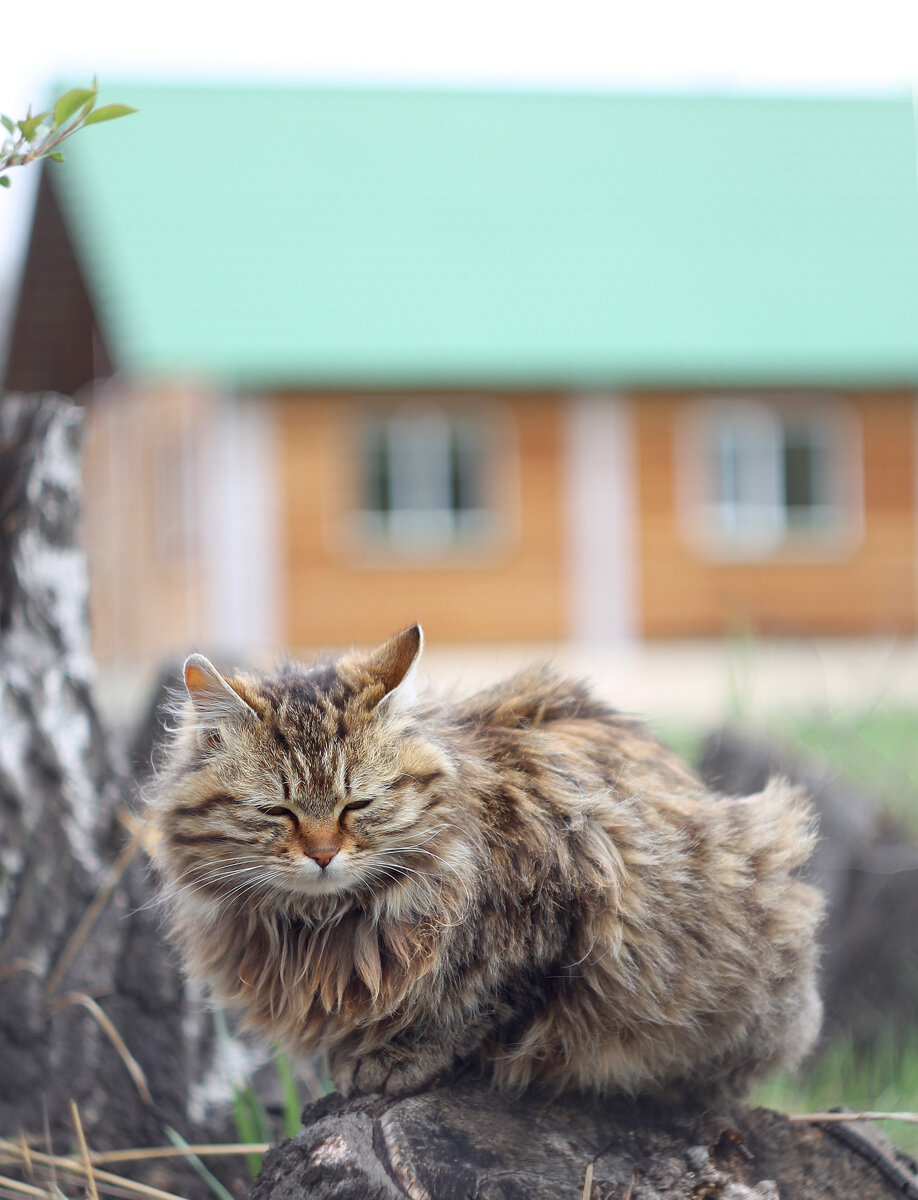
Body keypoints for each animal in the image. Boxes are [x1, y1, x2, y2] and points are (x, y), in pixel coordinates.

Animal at [148, 624, 825, 1099]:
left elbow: (472, 1007)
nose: (322, 854)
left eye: (357, 804)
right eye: (277, 812)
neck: (322, 926)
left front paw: (394, 1058)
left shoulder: (561, 912)